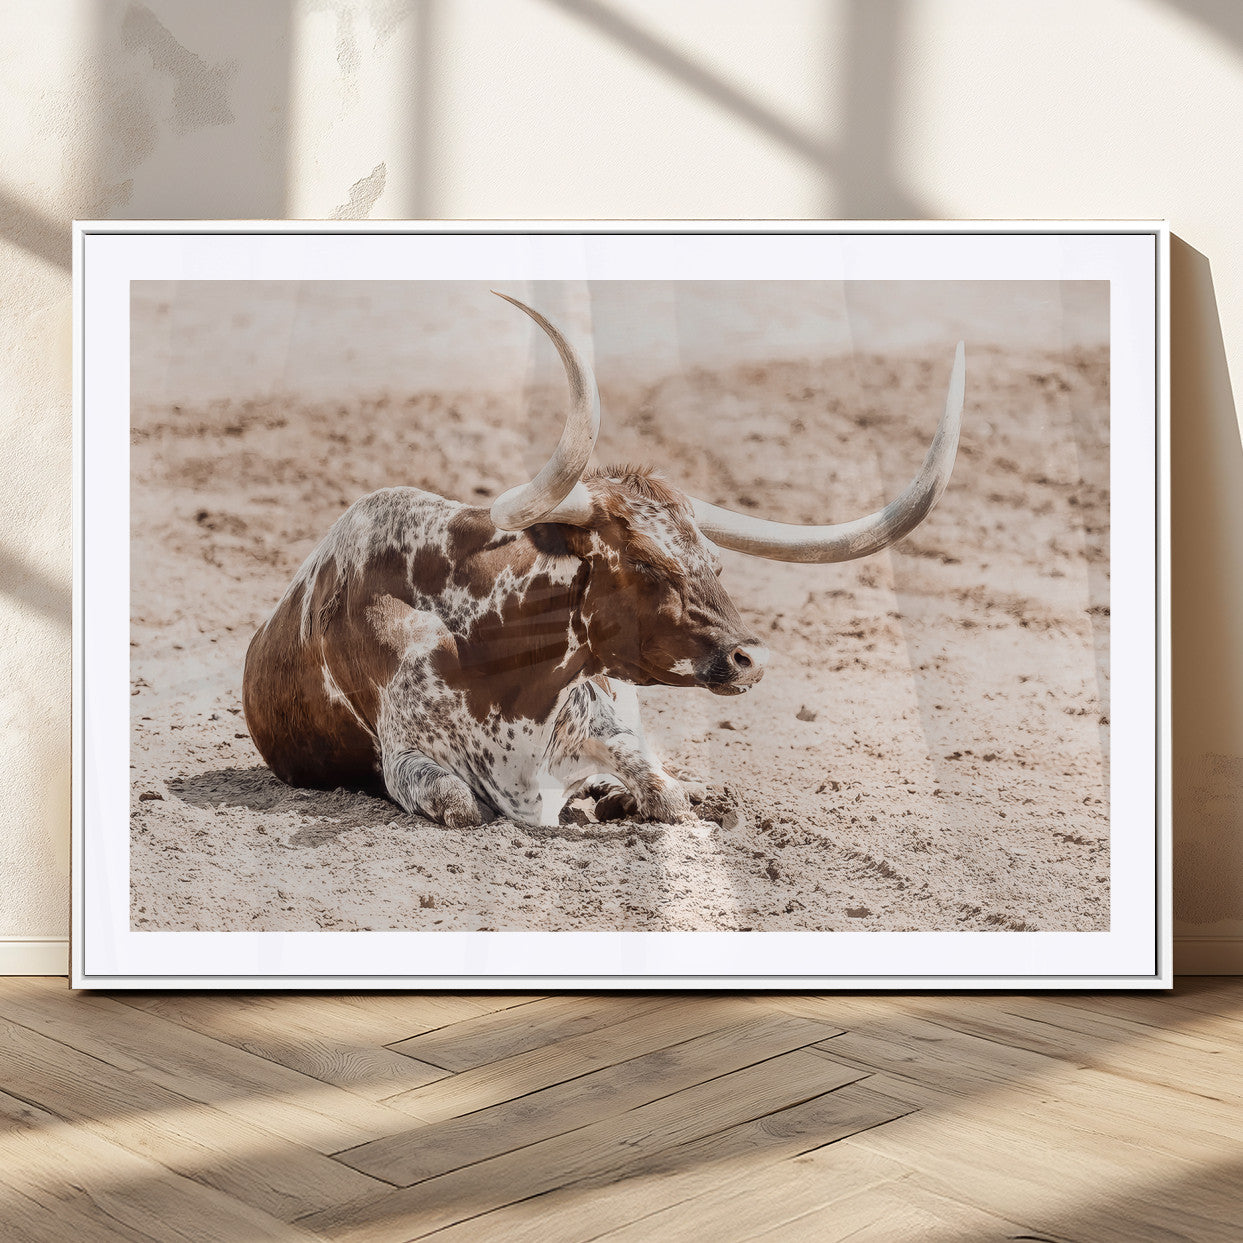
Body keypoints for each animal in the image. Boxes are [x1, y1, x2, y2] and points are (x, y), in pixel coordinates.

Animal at [243, 294, 964, 828]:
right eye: (644, 564)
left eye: (714, 562)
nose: (749, 659)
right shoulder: (408, 761)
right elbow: (462, 803)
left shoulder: (606, 724)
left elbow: (662, 789)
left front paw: (636, 796)